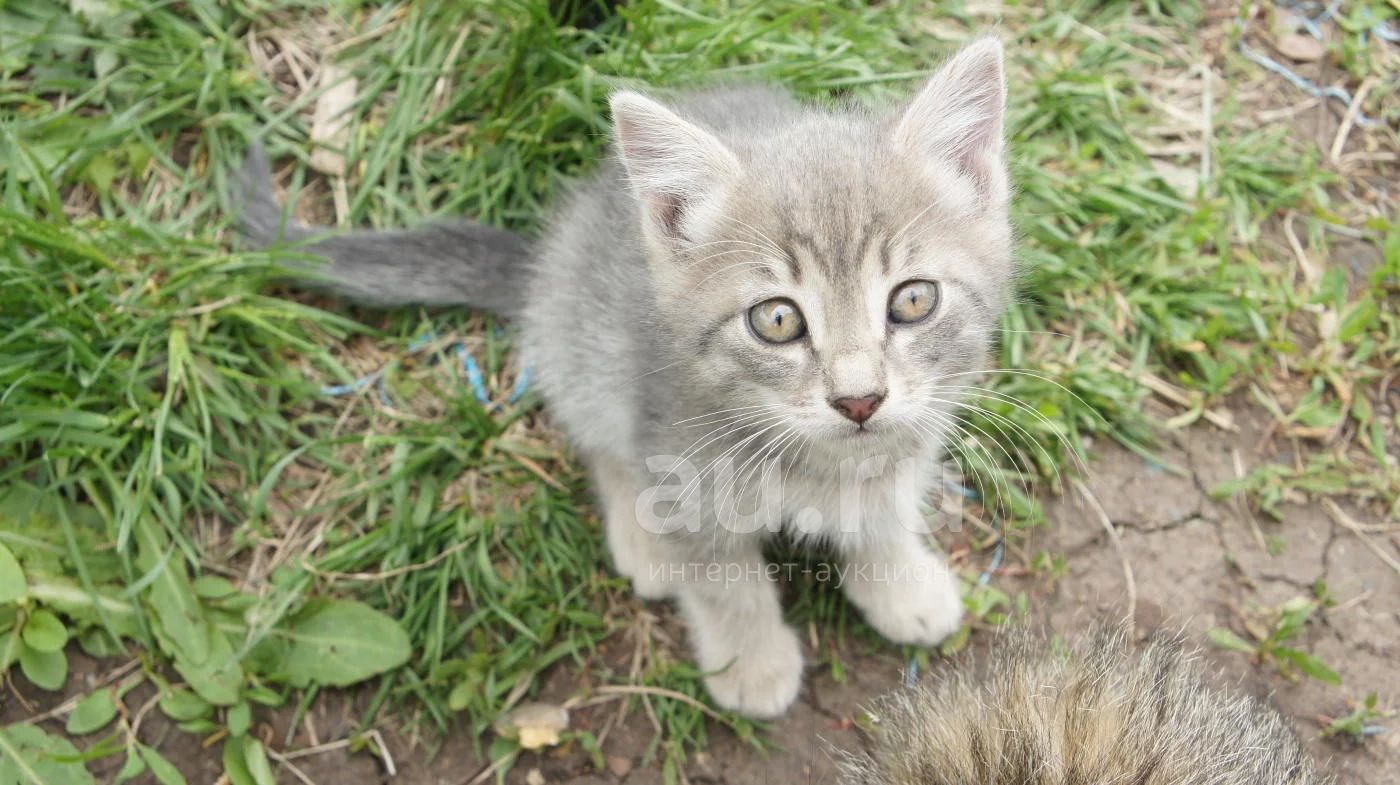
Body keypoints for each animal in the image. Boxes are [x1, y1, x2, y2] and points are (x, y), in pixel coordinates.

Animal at [238, 38, 1008, 716]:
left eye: (913, 300)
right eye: (777, 320)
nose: (859, 399)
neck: (815, 461)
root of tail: (541, 267)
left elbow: (881, 512)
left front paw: (900, 584)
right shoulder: (678, 458)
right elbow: (725, 580)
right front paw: (751, 663)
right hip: (589, 355)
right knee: (599, 439)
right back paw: (643, 538)